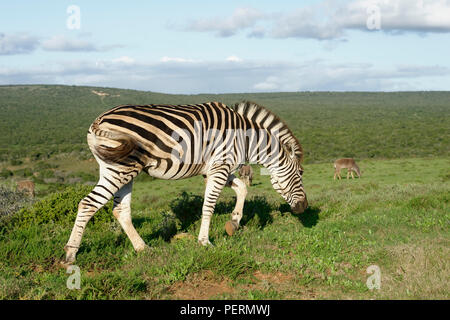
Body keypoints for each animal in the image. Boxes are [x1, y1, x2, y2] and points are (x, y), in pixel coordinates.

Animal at [63, 100, 308, 264]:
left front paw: (234, 222)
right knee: (88, 203)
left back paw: (142, 248)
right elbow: (209, 206)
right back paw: (70, 254)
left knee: (120, 210)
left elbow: (242, 189)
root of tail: (99, 121)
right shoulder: (220, 167)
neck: (245, 138)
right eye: (301, 173)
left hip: (119, 169)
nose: (304, 207)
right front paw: (205, 242)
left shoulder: (215, 169)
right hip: (121, 168)